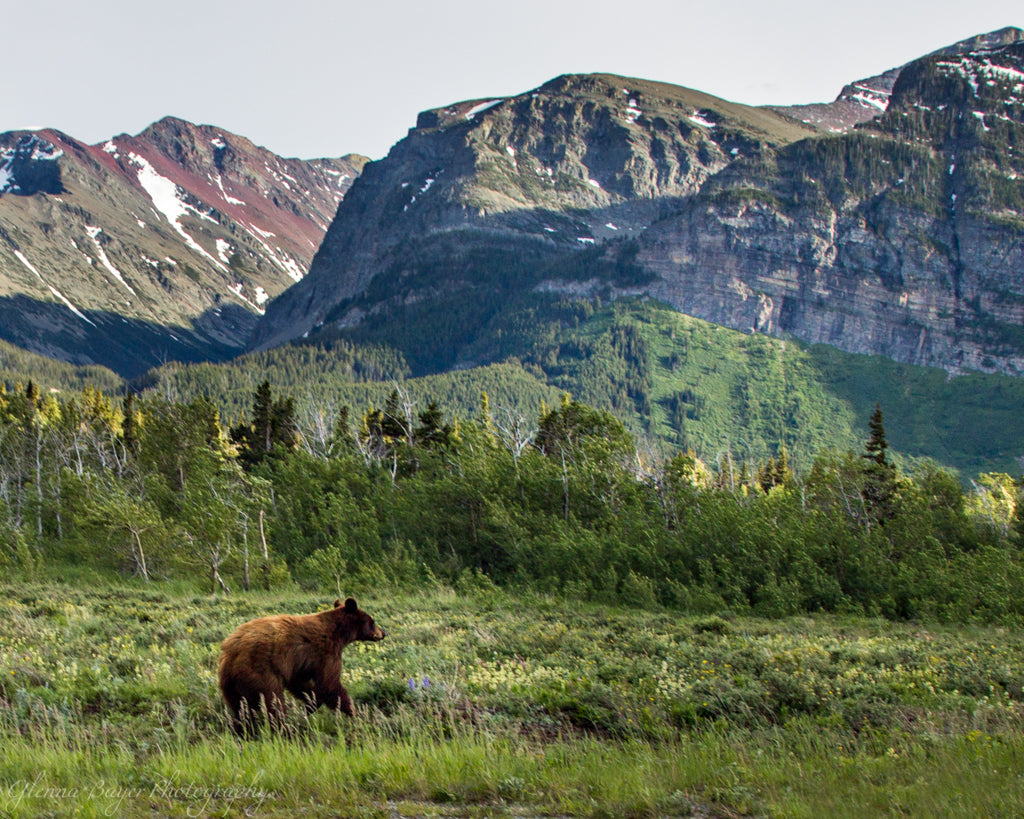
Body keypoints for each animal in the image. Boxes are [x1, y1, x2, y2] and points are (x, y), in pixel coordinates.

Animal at [218, 597, 386, 735]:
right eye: (372, 622)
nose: (384, 632)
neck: (338, 633)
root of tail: (231, 653)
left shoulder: (300, 665)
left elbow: (302, 685)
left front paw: (309, 705)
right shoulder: (325, 654)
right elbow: (330, 685)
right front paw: (357, 713)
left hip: (230, 685)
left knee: (239, 709)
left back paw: (243, 729)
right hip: (260, 672)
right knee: (273, 701)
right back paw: (284, 728)